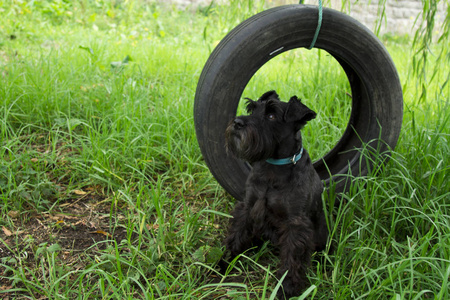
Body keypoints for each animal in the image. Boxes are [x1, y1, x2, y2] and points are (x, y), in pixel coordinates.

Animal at [224, 90, 326, 298]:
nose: (237, 122)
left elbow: (292, 258)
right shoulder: (248, 207)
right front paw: (225, 262)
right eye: (252, 109)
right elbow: (237, 233)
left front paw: (287, 287)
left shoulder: (295, 223)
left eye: (271, 116)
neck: (274, 168)